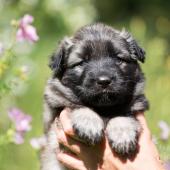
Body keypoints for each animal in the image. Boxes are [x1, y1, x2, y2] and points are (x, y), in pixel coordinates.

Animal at [40, 22, 148, 170]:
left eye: (118, 59)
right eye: (82, 62)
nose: (104, 81)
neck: (102, 109)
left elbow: (122, 114)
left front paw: (123, 134)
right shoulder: (56, 128)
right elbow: (77, 106)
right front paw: (89, 124)